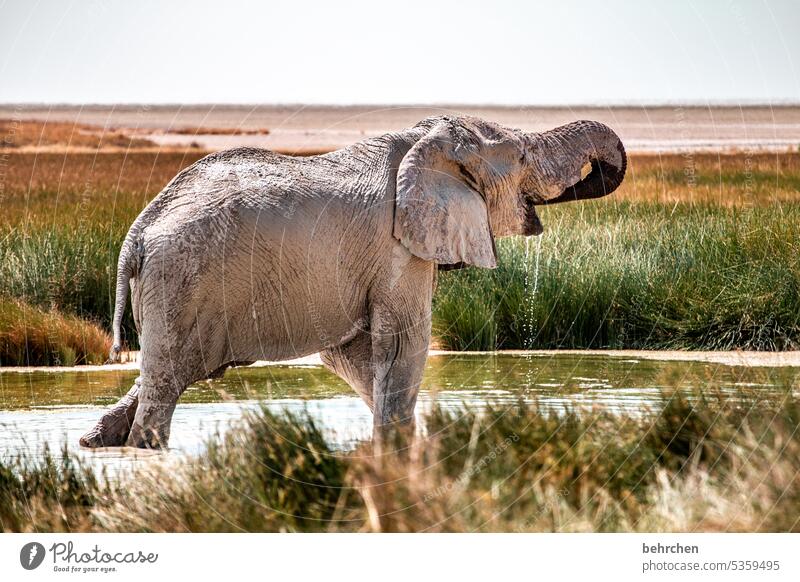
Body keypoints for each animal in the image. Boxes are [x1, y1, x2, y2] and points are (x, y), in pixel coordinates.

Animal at [79, 116, 624, 450]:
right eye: (521, 157)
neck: (425, 141)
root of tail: (138, 233)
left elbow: (351, 355)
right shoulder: (397, 249)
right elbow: (404, 344)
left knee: (158, 376)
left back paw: (94, 442)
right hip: (180, 282)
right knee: (165, 386)